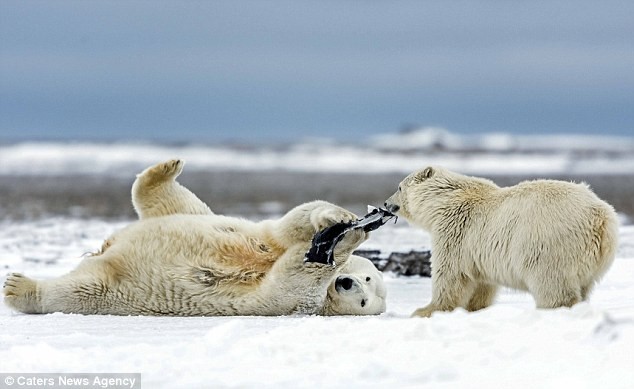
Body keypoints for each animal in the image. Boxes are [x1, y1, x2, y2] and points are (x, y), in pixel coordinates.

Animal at [4, 159, 386, 314]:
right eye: (367, 277)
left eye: (364, 300)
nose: (347, 283)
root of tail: (106, 250)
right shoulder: (264, 240)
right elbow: (285, 228)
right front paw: (344, 221)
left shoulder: (293, 304)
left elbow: (288, 281)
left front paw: (341, 243)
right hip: (191, 216)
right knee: (170, 200)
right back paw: (168, 167)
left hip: (113, 289)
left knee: (73, 291)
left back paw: (17, 286)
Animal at [382, 165, 616, 316]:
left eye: (399, 187)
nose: (385, 203)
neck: (443, 201)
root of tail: (600, 217)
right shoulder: (477, 249)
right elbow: (482, 284)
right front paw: (474, 308)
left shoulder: (455, 231)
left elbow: (450, 275)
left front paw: (424, 310)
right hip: (590, 258)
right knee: (583, 286)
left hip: (549, 244)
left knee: (552, 285)